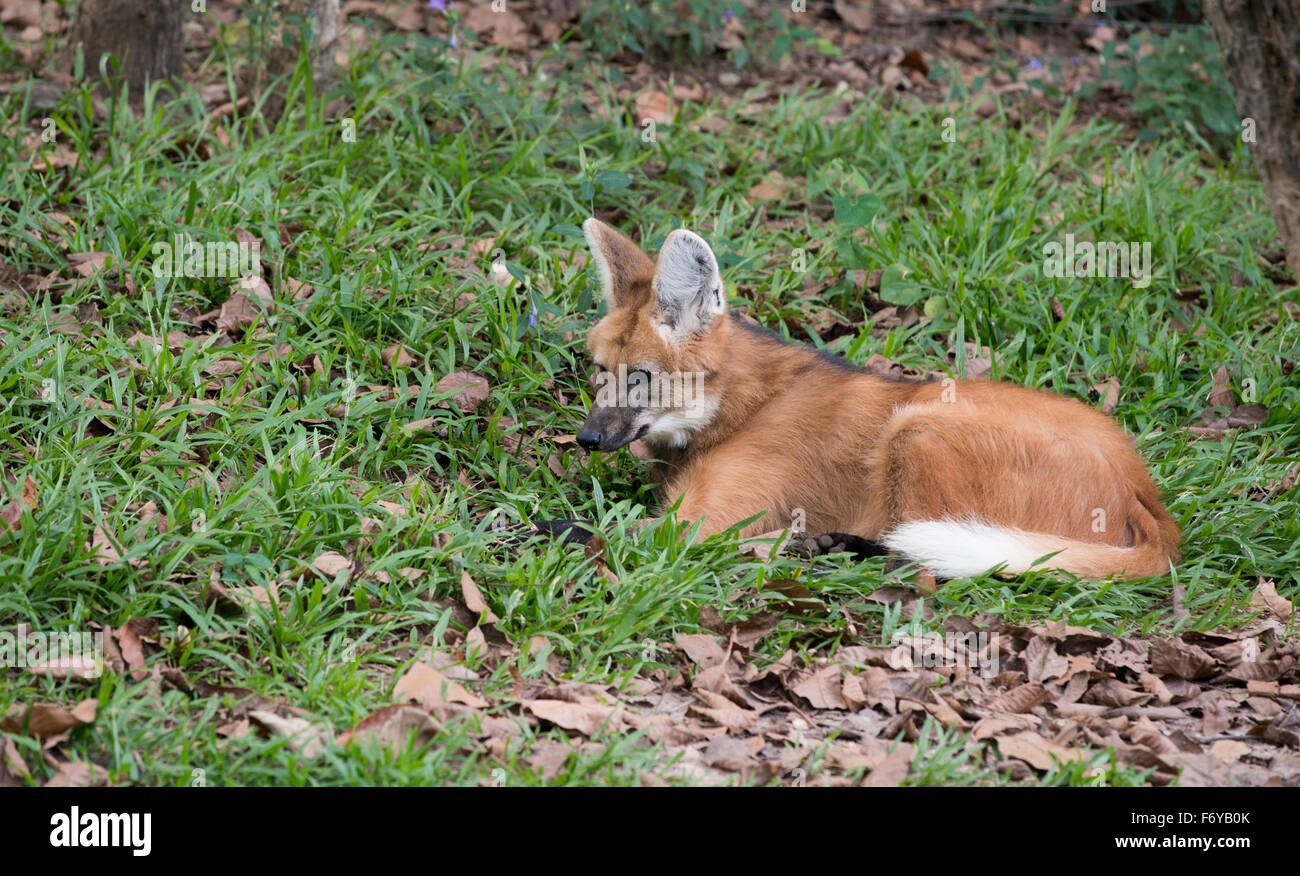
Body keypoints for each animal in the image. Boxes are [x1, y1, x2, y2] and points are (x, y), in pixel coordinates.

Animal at [577, 217, 1180, 579]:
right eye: (601, 371)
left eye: (642, 377)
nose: (586, 438)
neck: (740, 408)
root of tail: (1145, 496)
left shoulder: (699, 523)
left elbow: (593, 528)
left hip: (916, 427)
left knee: (924, 555)